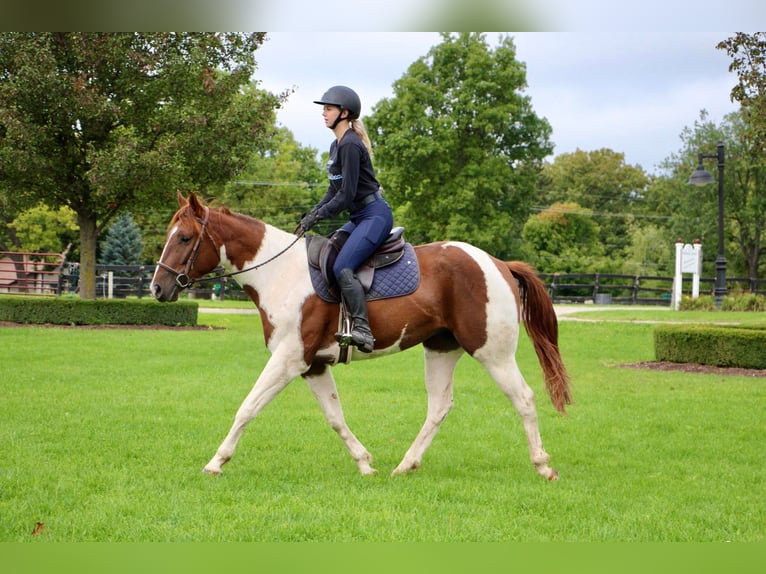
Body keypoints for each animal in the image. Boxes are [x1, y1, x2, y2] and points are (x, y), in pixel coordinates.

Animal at [153, 192, 572, 482]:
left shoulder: (288, 359)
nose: (158, 288)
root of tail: (498, 263)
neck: (279, 273)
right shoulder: (312, 365)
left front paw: (216, 462)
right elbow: (335, 417)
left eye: (185, 238)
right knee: (439, 406)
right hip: (441, 348)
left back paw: (543, 466)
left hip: (492, 353)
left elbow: (248, 407)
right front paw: (365, 463)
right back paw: (405, 465)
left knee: (524, 398)